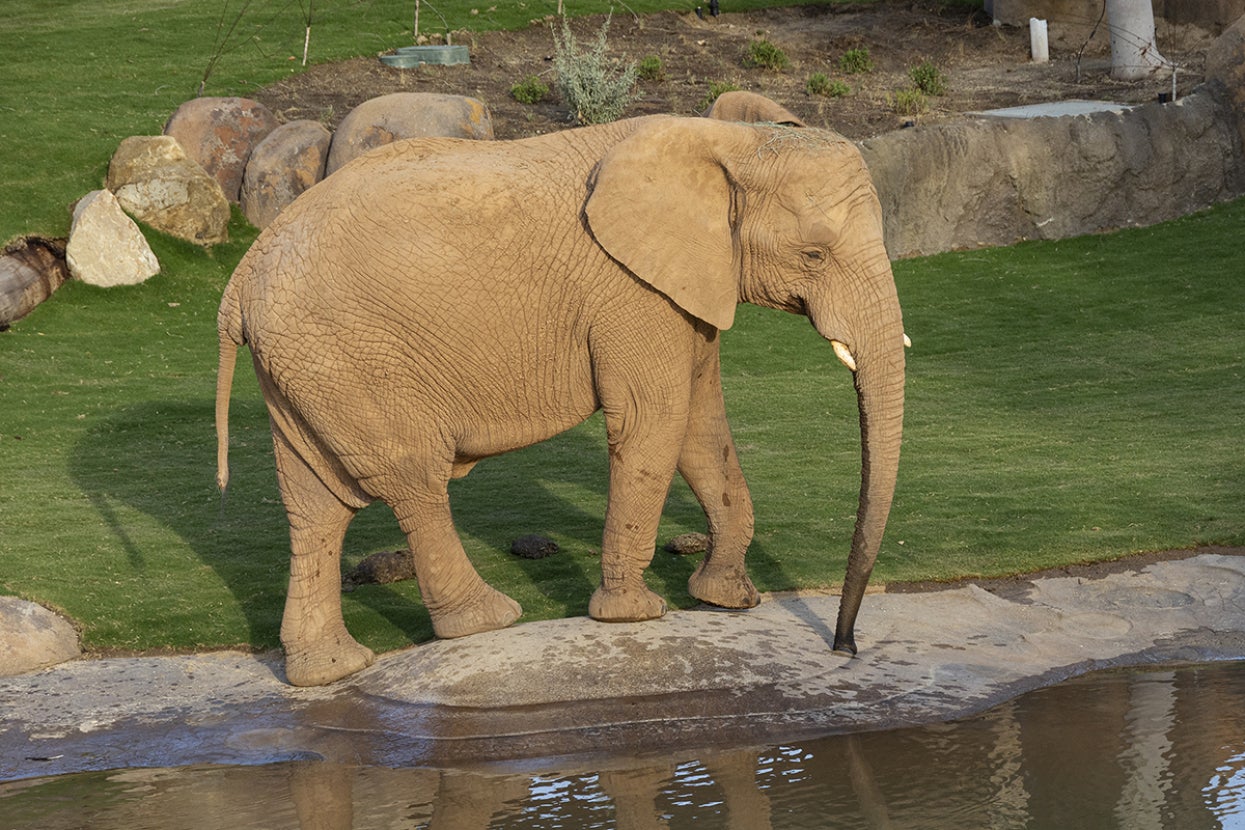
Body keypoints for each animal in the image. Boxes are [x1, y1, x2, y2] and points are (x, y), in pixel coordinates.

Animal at [215, 113, 907, 686]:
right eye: (814, 254)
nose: (844, 647)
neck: (731, 139)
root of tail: (239, 281)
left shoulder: (689, 287)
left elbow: (701, 426)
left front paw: (726, 600)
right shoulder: (631, 292)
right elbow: (655, 421)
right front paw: (634, 615)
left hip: (307, 367)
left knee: (315, 506)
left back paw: (329, 671)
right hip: (344, 353)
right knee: (411, 479)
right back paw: (488, 620)